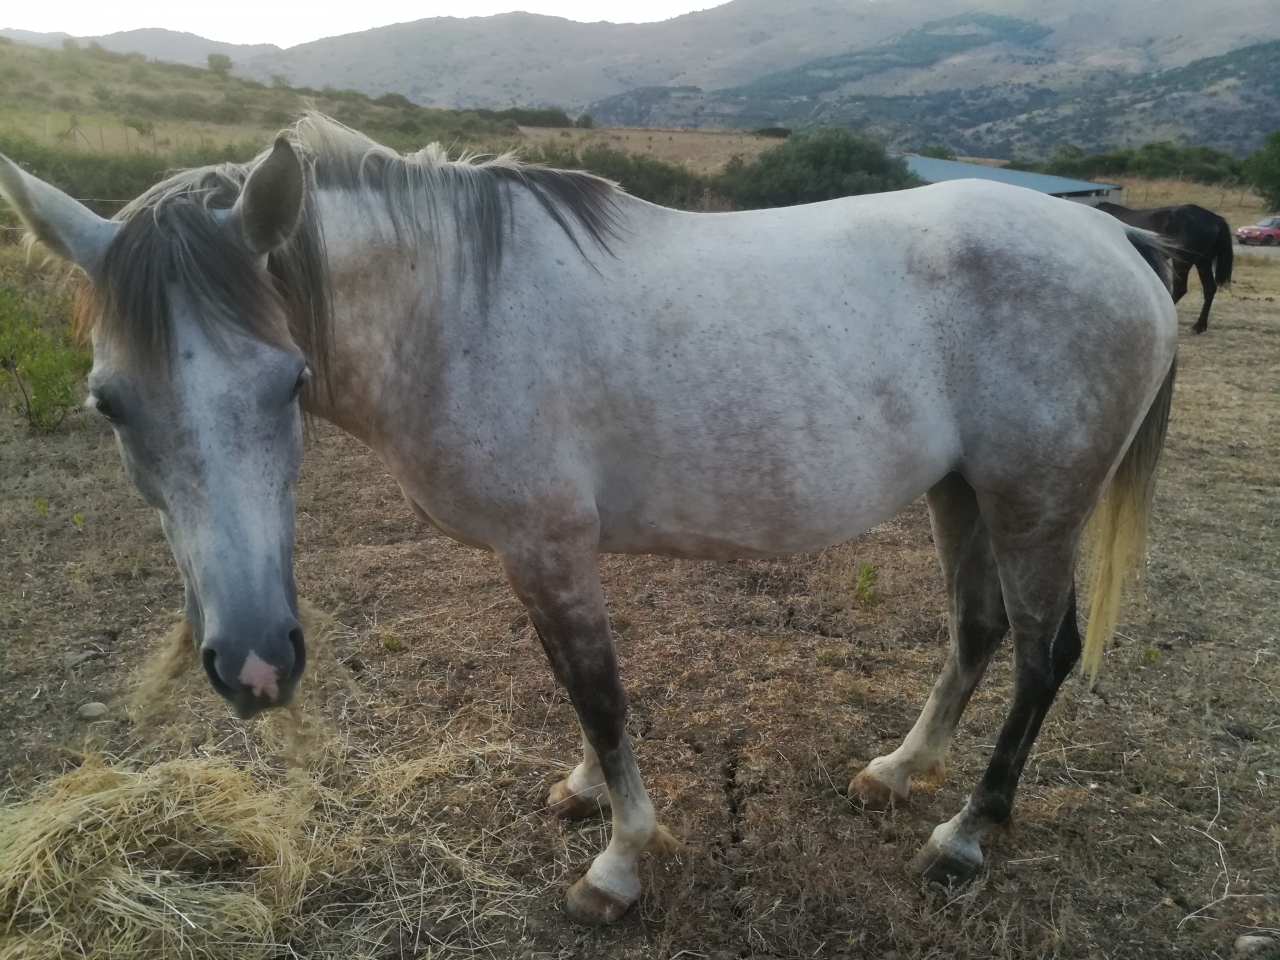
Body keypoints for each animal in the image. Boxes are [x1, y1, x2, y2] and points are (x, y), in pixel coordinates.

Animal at [0, 115, 1178, 927]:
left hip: (1034, 505)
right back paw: (899, 771)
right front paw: (580, 796)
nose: (256, 664)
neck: (453, 306)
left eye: (287, 380)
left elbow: (598, 694)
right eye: (110, 403)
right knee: (977, 630)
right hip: (961, 492)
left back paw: (966, 833)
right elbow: (575, 693)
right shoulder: (543, 557)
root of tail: (1116, 237)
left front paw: (618, 862)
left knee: (1042, 653)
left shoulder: (549, 550)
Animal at [1097, 201, 1233, 334]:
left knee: (1180, 288)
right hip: (1203, 261)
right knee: (1209, 288)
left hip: (1181, 260)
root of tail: (1215, 218)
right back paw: (1200, 326)